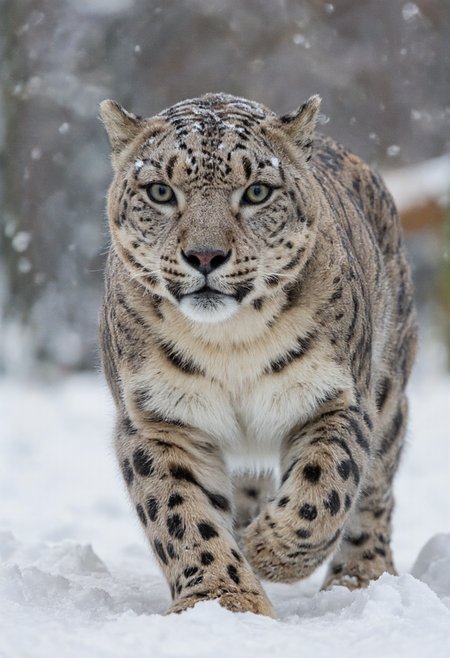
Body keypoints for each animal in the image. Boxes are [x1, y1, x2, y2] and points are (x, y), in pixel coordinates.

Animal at [99, 92, 417, 618]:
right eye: (161, 191)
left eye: (257, 192)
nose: (205, 256)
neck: (229, 344)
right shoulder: (157, 417)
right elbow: (179, 511)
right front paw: (222, 597)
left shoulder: (334, 398)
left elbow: (326, 486)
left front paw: (270, 551)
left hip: (388, 390)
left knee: (376, 489)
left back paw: (360, 578)